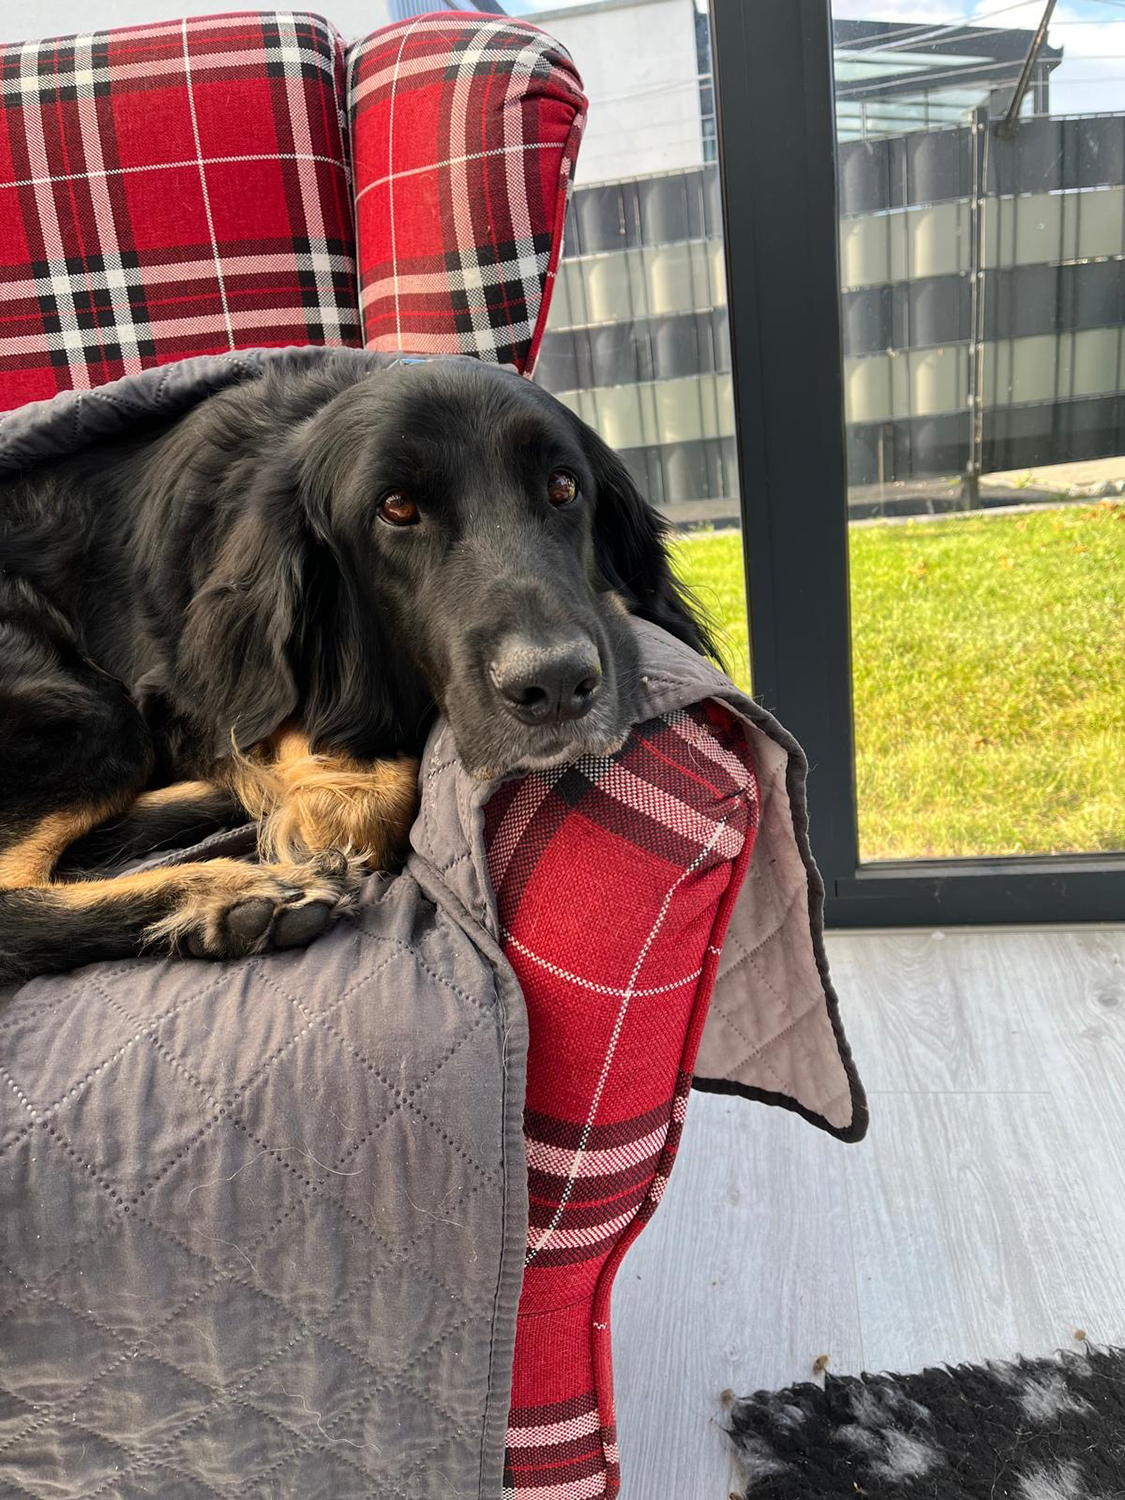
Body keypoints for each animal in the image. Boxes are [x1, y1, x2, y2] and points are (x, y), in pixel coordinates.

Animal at [0, 353, 712, 983]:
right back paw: (225, 895)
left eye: (563, 487)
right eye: (396, 509)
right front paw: (319, 798)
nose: (557, 683)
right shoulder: (180, 696)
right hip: (96, 713)